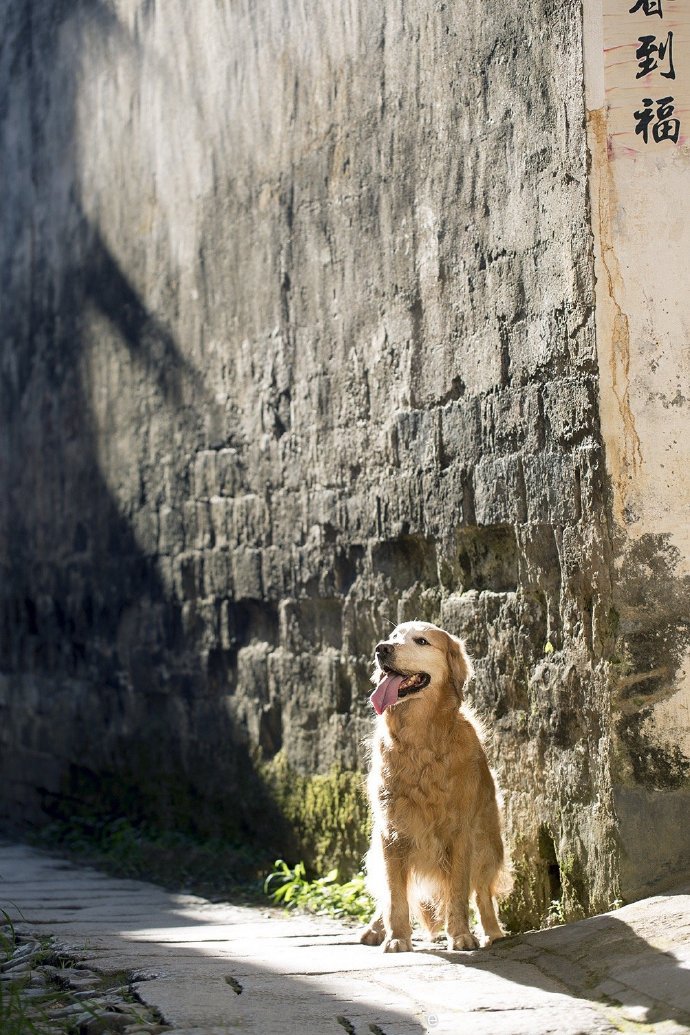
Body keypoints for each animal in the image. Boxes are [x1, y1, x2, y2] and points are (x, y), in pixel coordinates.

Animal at [360, 616, 511, 948]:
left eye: (422, 641)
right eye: (393, 636)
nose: (381, 648)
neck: (420, 740)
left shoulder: (461, 833)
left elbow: (458, 891)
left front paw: (462, 935)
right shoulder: (390, 833)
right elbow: (395, 897)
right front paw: (397, 938)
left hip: (488, 845)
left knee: (483, 893)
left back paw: (492, 933)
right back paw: (375, 929)